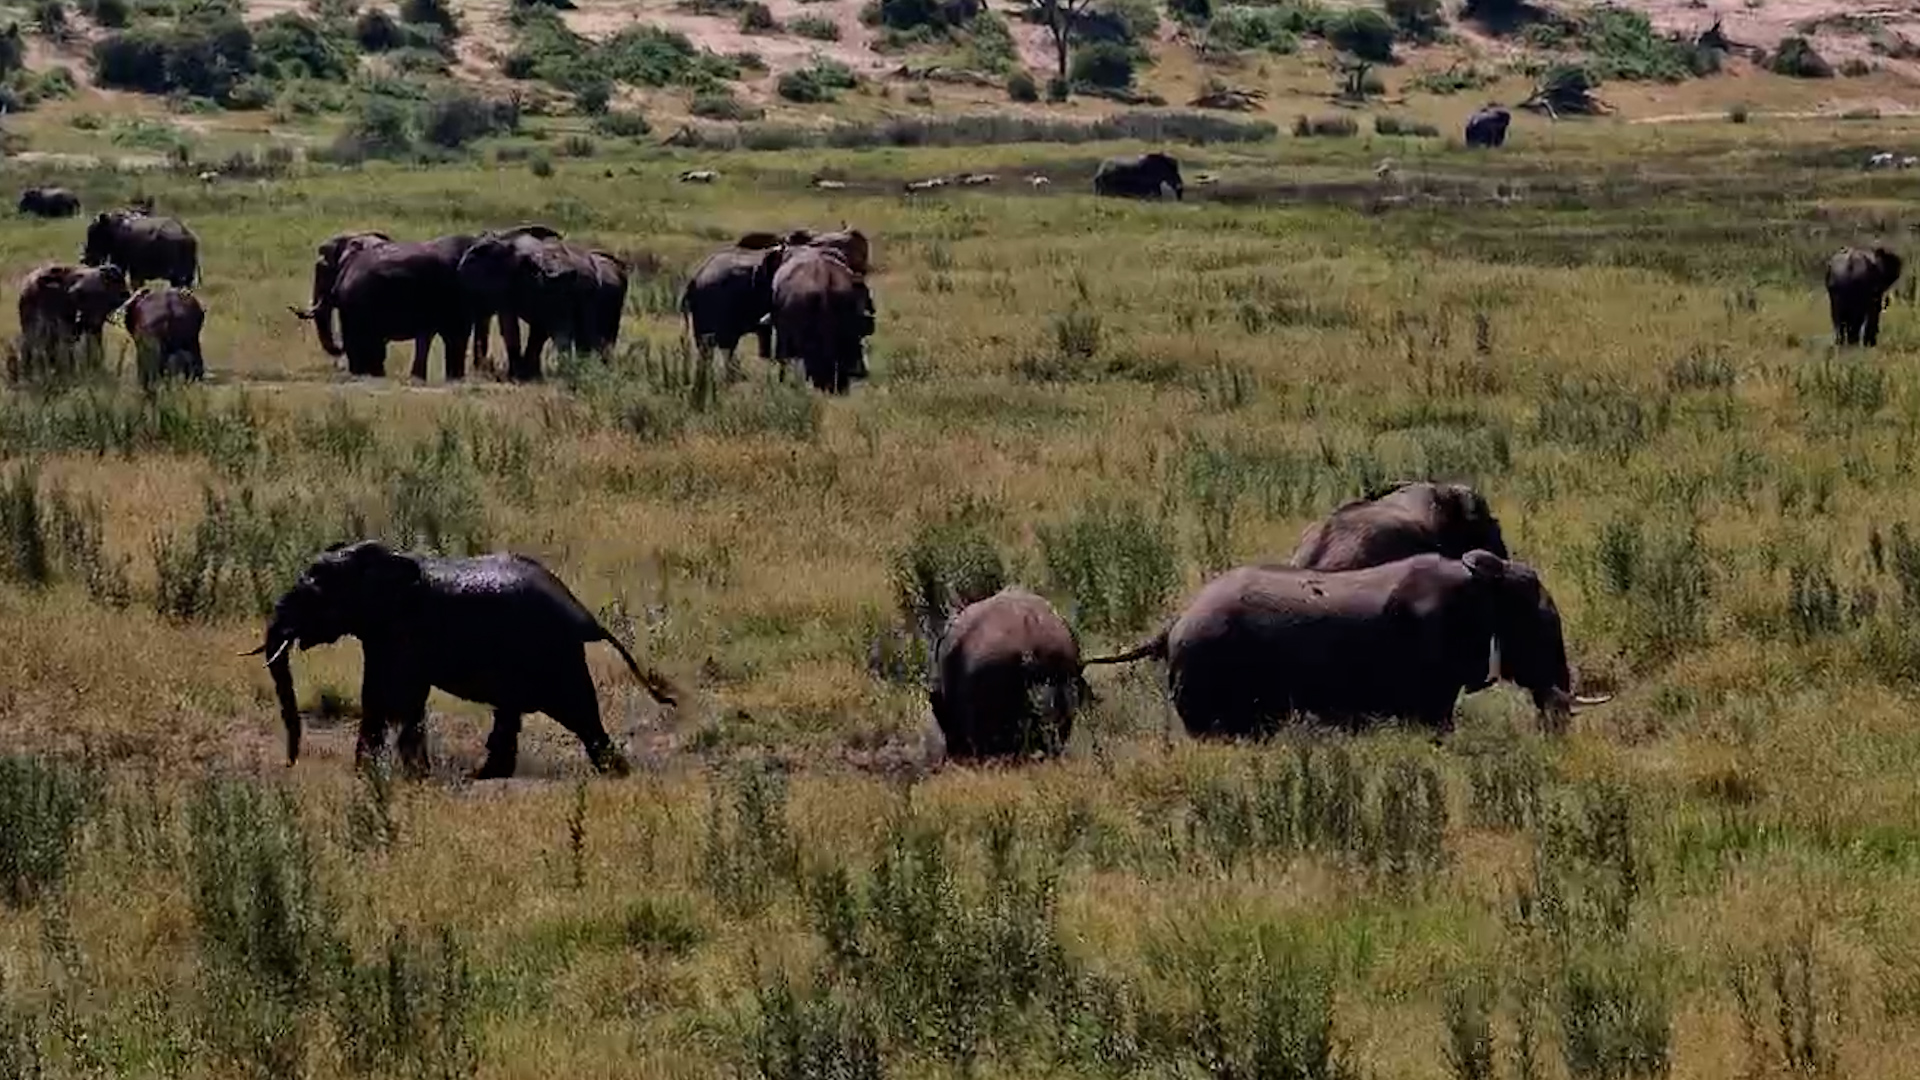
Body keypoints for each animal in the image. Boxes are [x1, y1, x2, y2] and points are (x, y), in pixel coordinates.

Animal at [242, 540, 679, 779]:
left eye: (313, 595)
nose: (290, 764)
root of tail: (585, 616)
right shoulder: (381, 634)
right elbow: (378, 696)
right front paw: (370, 775)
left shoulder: (403, 632)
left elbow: (398, 697)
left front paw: (410, 776)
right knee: (514, 714)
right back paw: (489, 776)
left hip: (554, 655)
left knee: (580, 713)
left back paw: (615, 774)